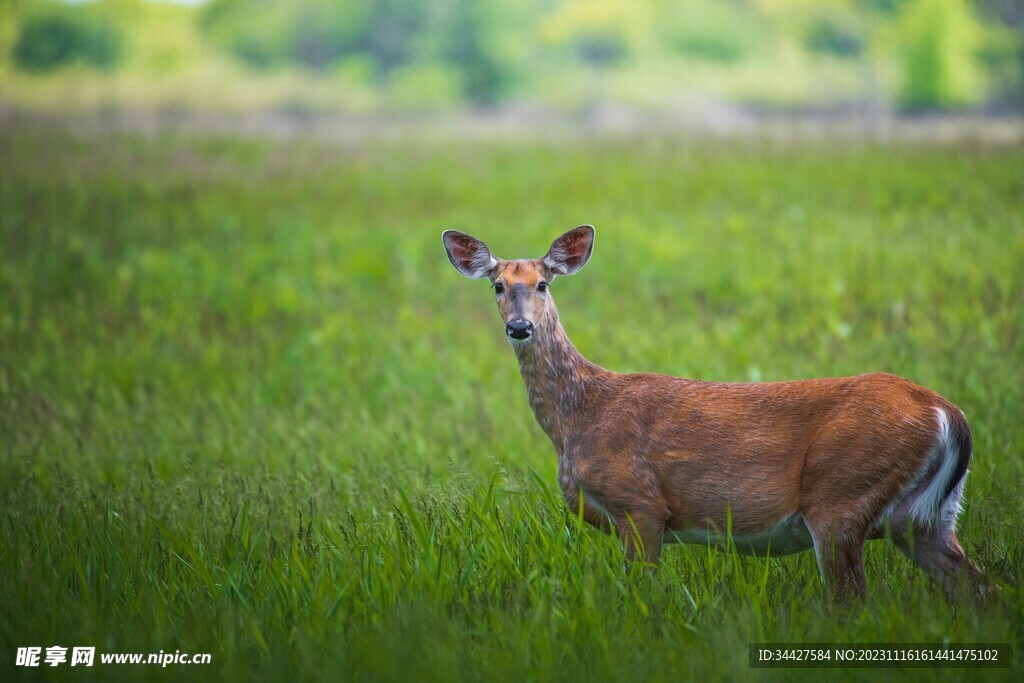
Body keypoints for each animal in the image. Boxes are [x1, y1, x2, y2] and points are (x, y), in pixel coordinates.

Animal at [442, 225, 989, 599]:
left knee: (854, 600)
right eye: (497, 285)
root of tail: (947, 412)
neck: (580, 419)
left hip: (842, 497)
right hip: (927, 518)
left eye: (543, 284)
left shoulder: (641, 505)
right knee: (981, 589)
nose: (519, 327)